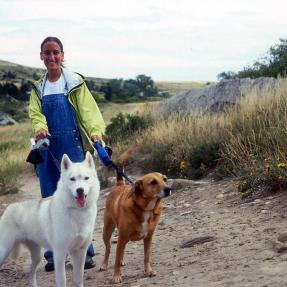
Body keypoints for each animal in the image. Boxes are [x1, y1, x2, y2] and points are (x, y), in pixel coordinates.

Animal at [0, 152, 100, 286]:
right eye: (72, 179)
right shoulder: (59, 253)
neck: (76, 211)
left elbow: (79, 279)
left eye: (86, 178)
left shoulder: (80, 252)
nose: (80, 190)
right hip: (4, 251)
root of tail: (9, 208)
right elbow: (62, 281)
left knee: (31, 273)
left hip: (36, 256)